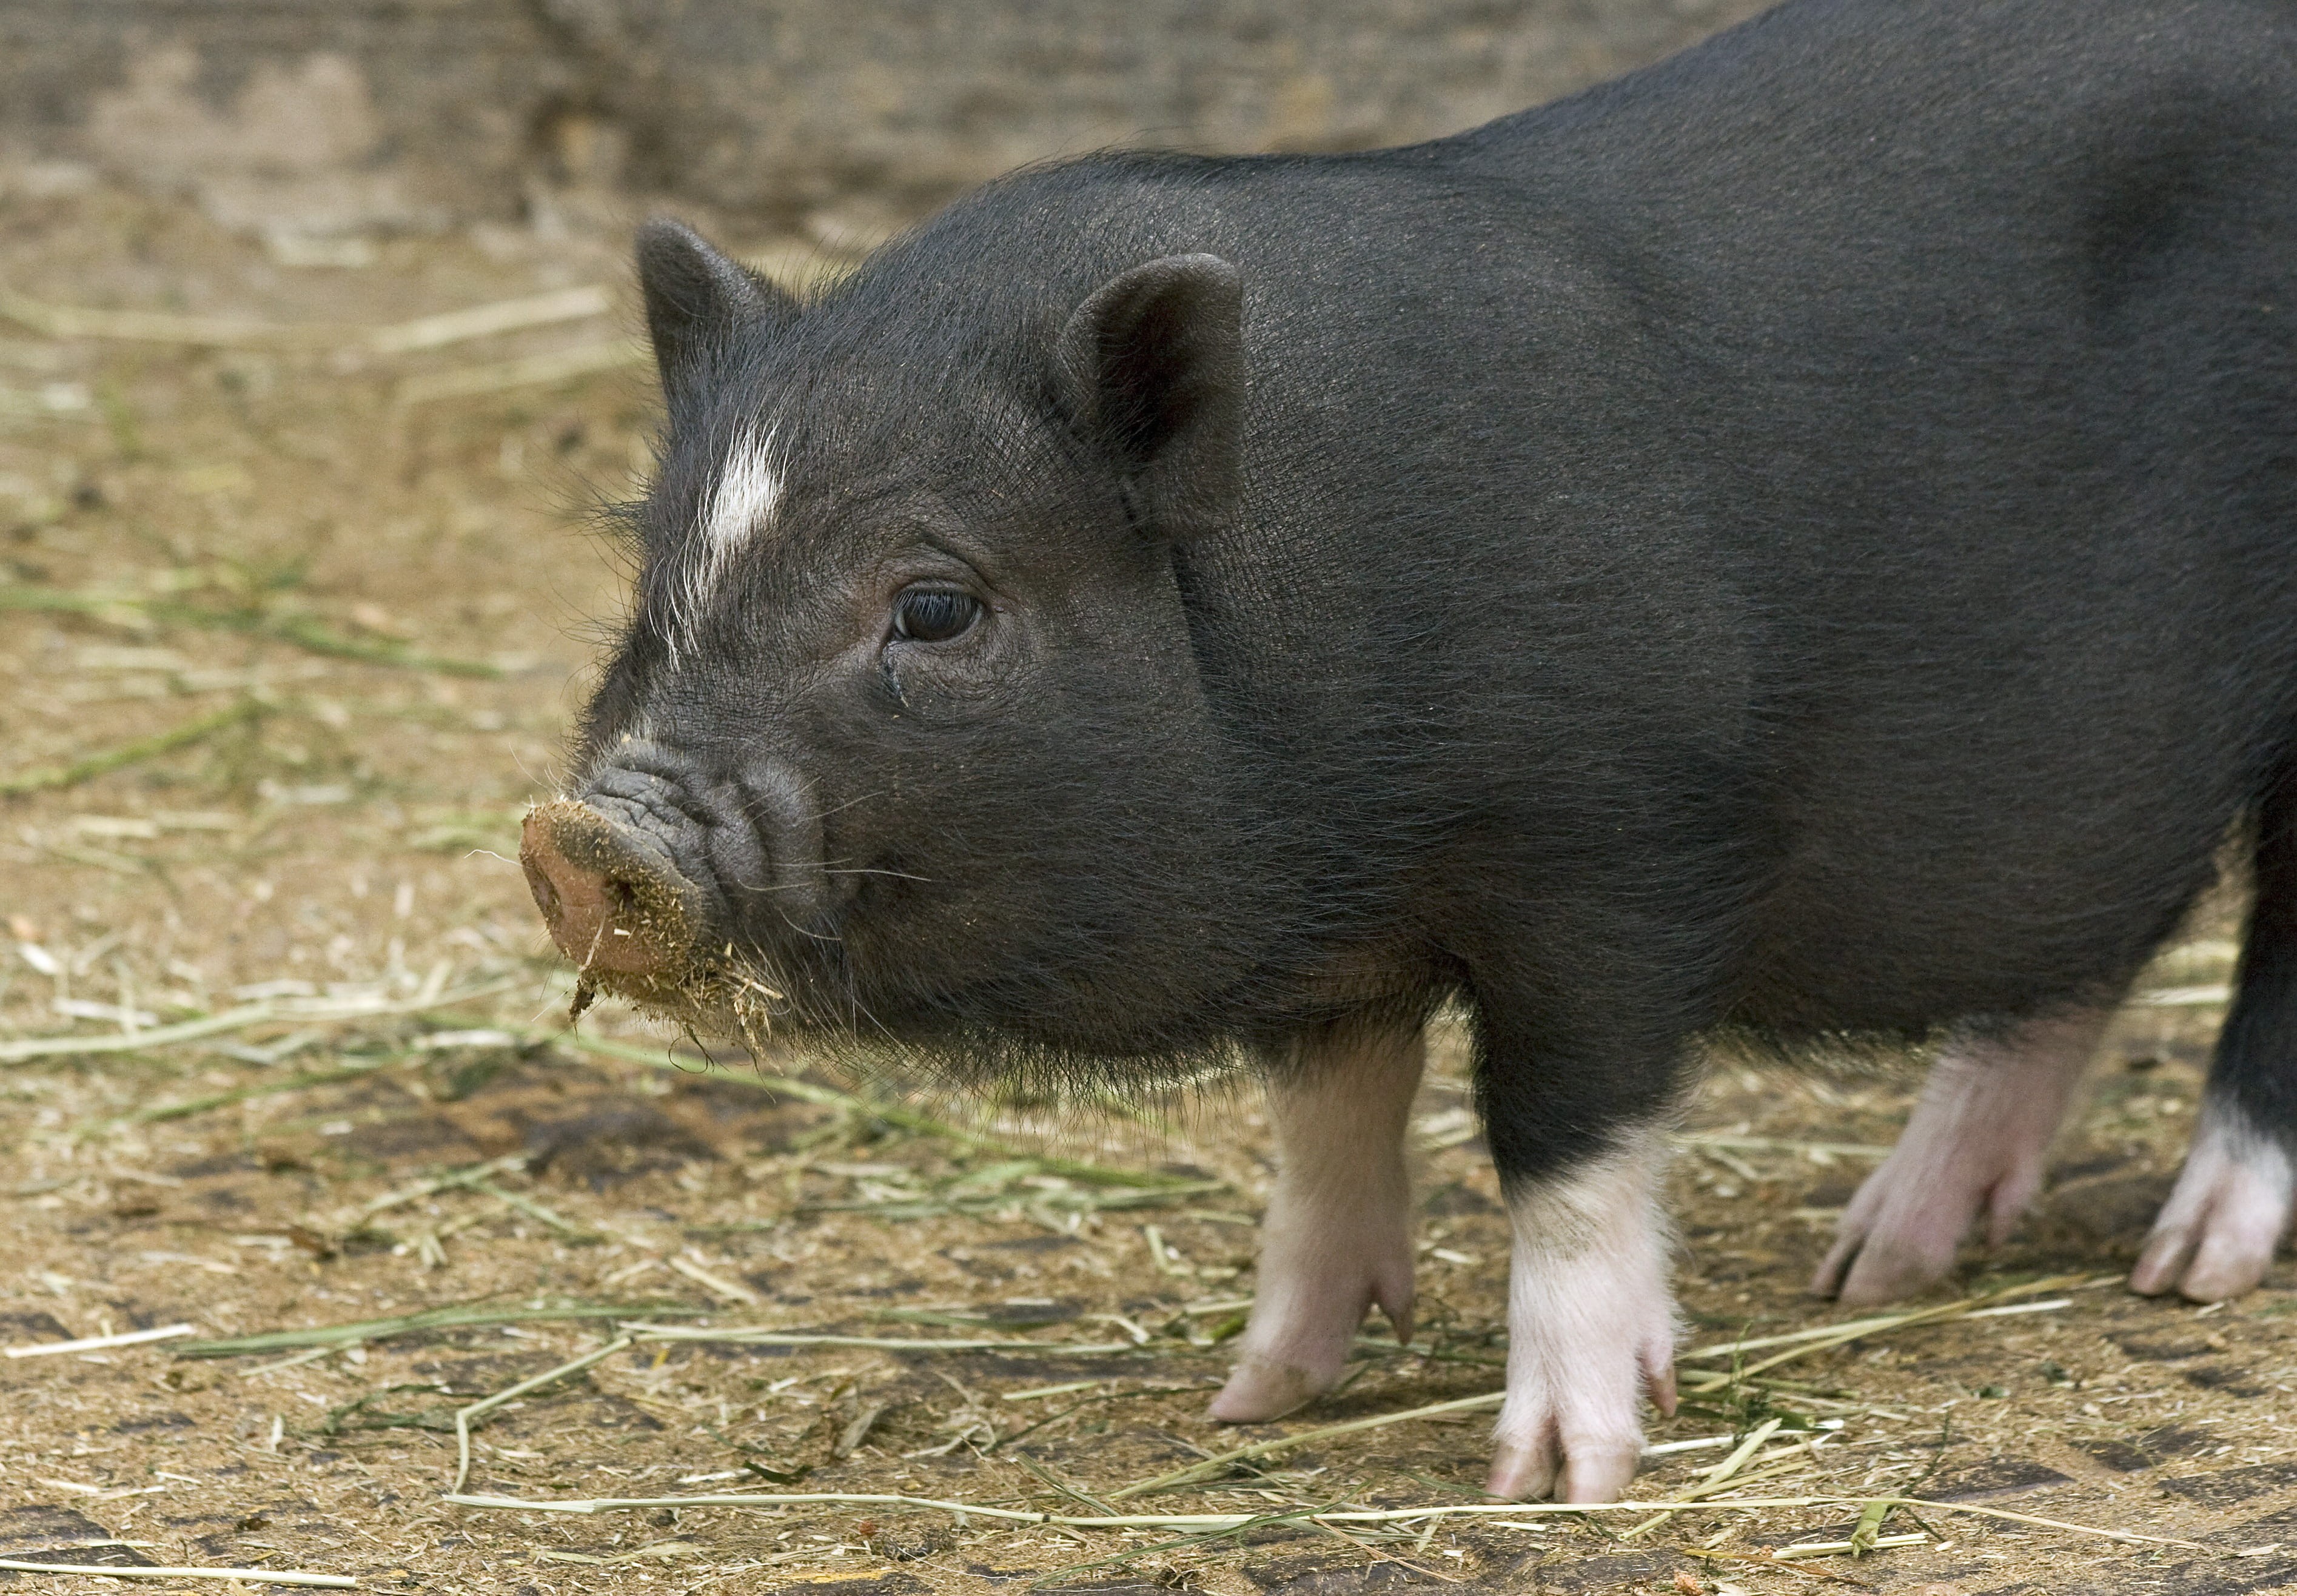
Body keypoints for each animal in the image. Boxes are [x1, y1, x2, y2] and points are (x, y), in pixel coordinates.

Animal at [520, 0, 2297, 1502]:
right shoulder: (1329, 932)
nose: (585, 834)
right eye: (659, 564)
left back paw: (2187, 1267)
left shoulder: (1625, 846)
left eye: (936, 605)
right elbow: (1323, 1124)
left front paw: (1560, 1476)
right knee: (2094, 939)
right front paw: (1252, 1399)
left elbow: (1561, 1140)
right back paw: (1877, 1261)